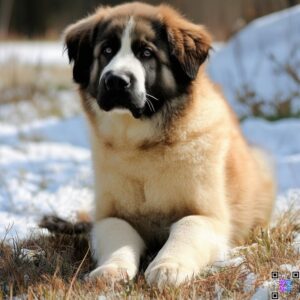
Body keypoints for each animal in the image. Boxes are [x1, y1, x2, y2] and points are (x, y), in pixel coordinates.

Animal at [64, 1, 276, 288]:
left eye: (146, 53)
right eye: (107, 50)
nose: (116, 80)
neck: (143, 144)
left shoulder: (208, 216)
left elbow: (187, 226)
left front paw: (168, 267)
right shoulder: (111, 216)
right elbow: (119, 234)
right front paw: (111, 270)